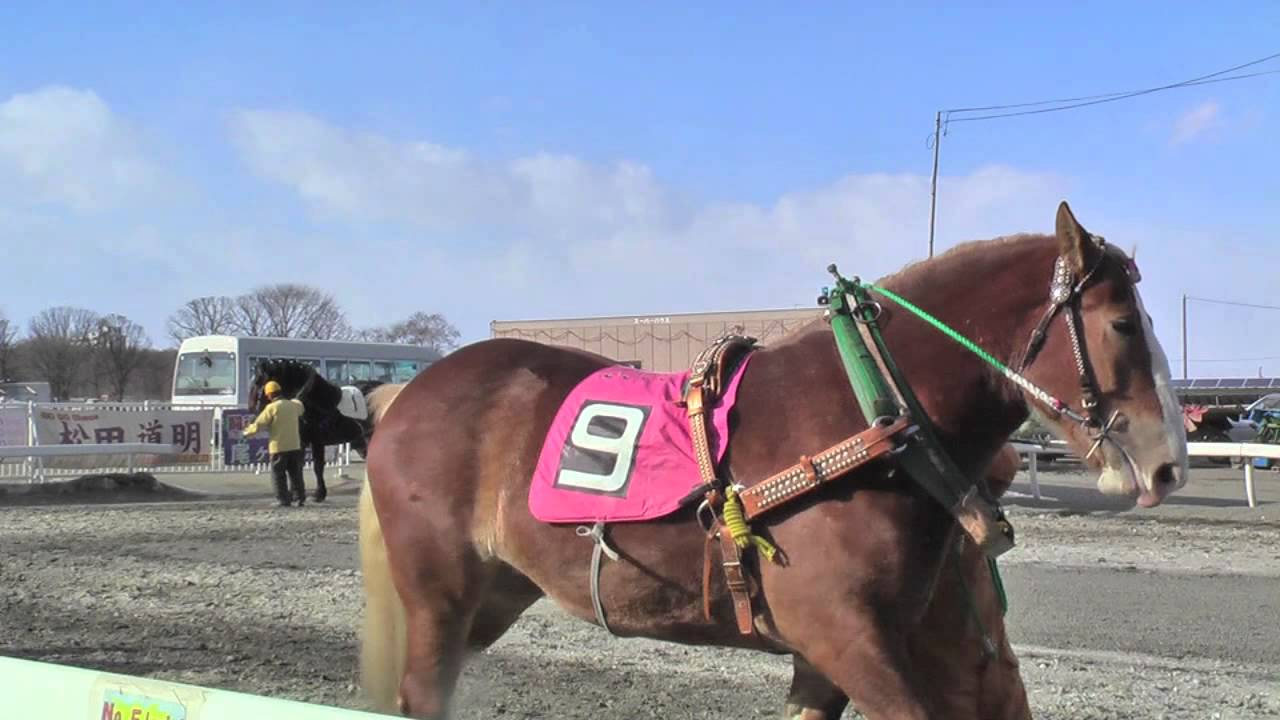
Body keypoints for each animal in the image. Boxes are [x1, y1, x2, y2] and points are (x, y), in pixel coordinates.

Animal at [247, 358, 396, 502]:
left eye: (258, 381)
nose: (253, 408)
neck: (314, 400)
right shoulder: (301, 441)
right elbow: (296, 466)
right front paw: (296, 494)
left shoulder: (317, 440)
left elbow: (317, 467)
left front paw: (319, 494)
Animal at [357, 201, 1188, 719]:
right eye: (1122, 323)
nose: (1170, 463)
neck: (868, 418)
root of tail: (407, 395)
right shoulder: (843, 634)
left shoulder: (833, 650)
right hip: (439, 591)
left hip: (496, 591)